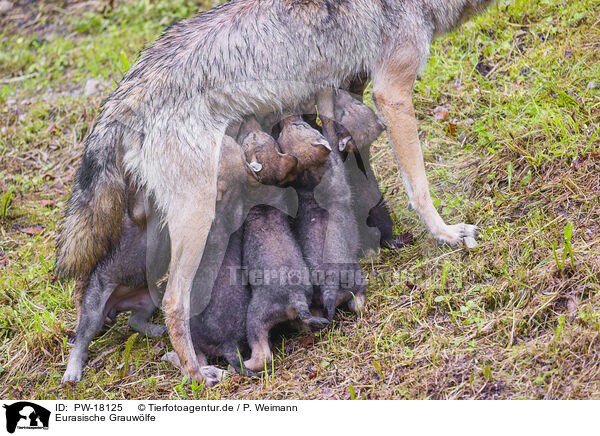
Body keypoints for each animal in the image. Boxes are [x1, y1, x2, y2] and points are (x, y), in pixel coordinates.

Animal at [55, 0, 488, 386]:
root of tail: (125, 92)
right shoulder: (392, 92)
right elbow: (419, 185)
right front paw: (447, 234)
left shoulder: (345, 91)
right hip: (196, 218)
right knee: (172, 304)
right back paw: (195, 373)